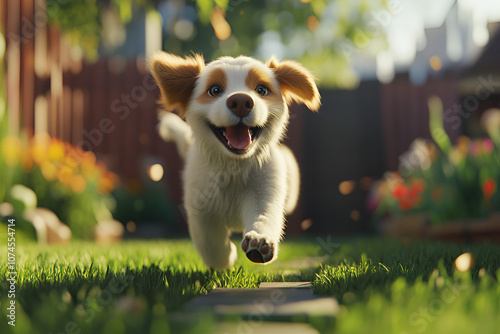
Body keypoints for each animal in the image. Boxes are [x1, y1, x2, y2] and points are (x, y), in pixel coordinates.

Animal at [149, 53, 320, 270]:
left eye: (261, 90)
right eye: (215, 90)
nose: (240, 100)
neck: (233, 167)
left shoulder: (265, 193)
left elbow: (264, 217)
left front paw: (259, 240)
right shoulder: (201, 210)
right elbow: (209, 242)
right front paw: (225, 258)